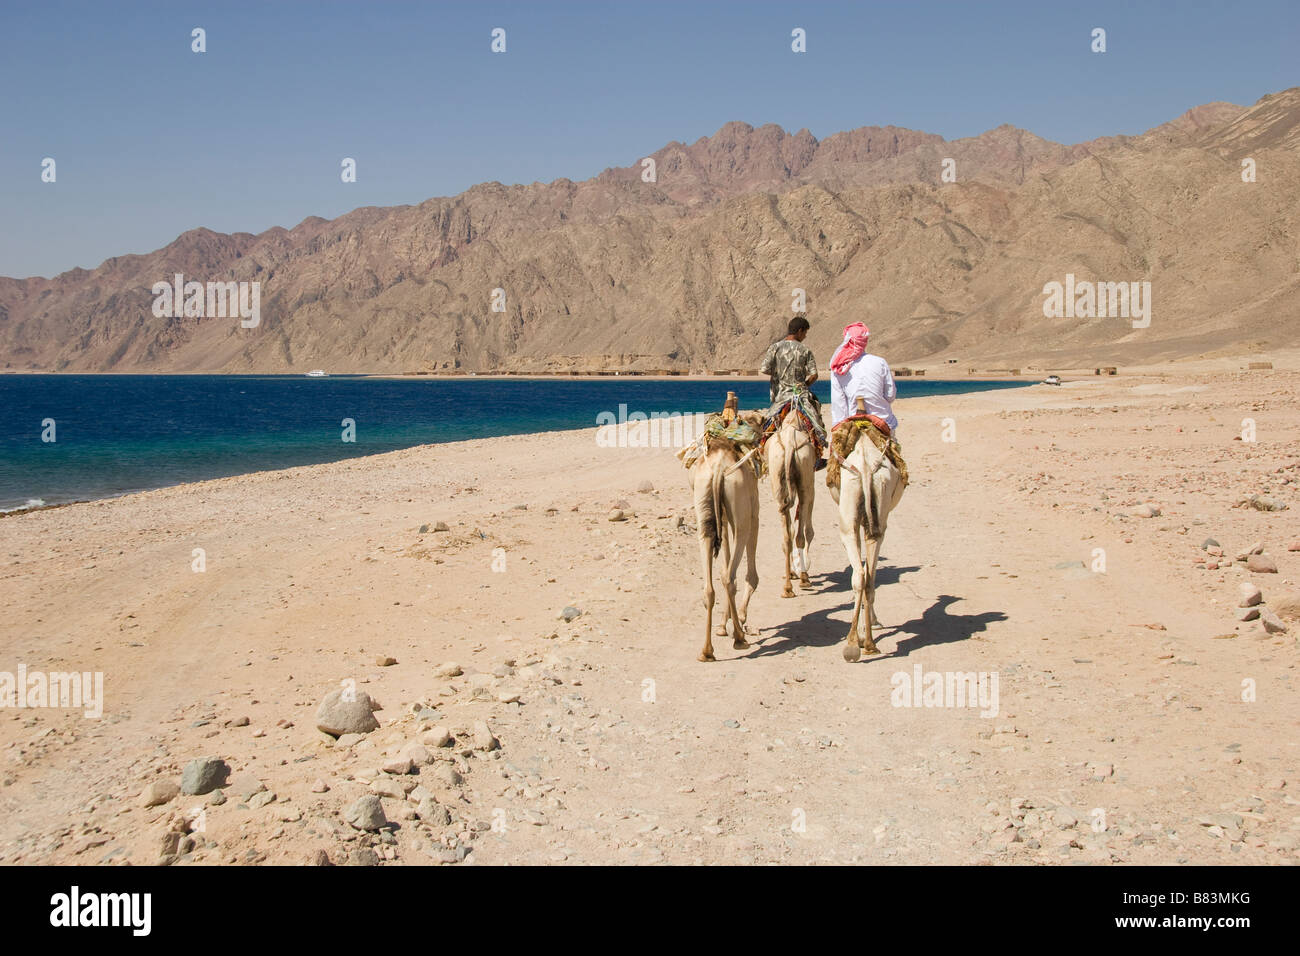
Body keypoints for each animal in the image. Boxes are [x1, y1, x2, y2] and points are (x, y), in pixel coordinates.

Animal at [691, 403, 759, 658]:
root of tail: (719, 468)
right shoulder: (753, 511)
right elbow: (748, 575)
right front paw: (738, 620)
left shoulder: (722, 515)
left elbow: (723, 567)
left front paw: (723, 625)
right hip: (741, 513)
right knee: (730, 577)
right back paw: (739, 638)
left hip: (703, 510)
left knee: (710, 586)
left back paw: (707, 651)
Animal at [759, 403, 811, 598]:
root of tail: (789, 444)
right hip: (805, 476)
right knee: (800, 534)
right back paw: (803, 578)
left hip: (778, 479)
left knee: (787, 536)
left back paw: (788, 587)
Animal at [832, 400, 904, 660]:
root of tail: (865, 466)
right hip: (875, 516)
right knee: (867, 576)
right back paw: (864, 640)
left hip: (853, 516)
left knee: (863, 576)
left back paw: (859, 642)